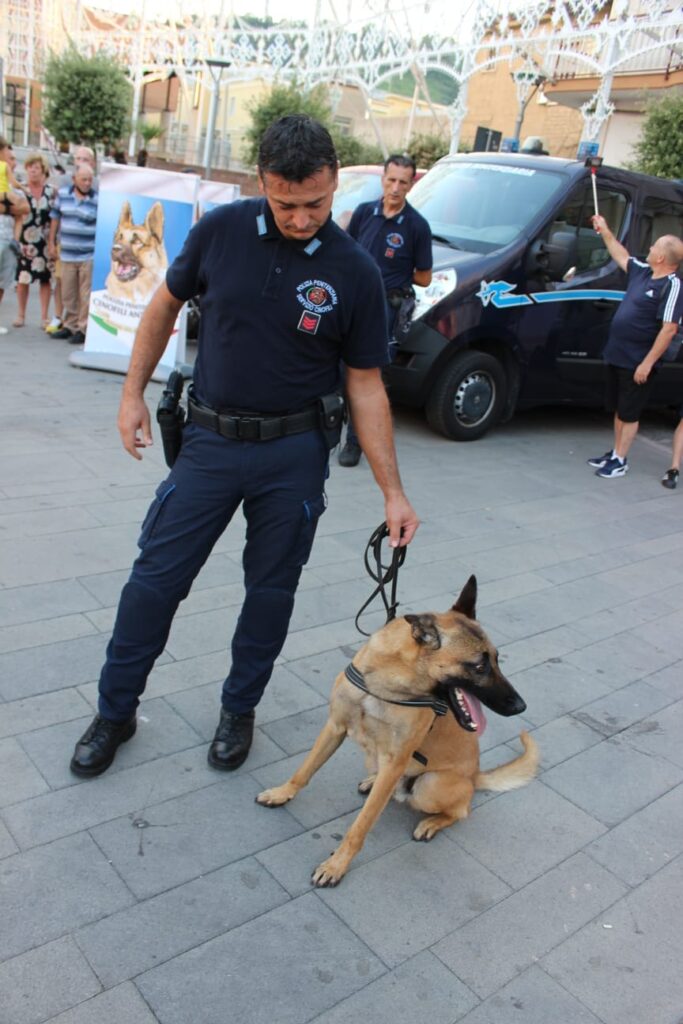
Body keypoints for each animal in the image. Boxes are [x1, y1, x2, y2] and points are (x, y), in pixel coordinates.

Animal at [255, 577, 540, 888]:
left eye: (498, 660)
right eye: (479, 666)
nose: (521, 706)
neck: (385, 682)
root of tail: (475, 776)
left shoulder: (396, 760)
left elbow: (361, 825)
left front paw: (336, 865)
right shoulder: (334, 727)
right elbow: (304, 771)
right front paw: (282, 793)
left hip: (428, 785)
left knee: (462, 810)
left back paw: (431, 822)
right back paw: (372, 781)